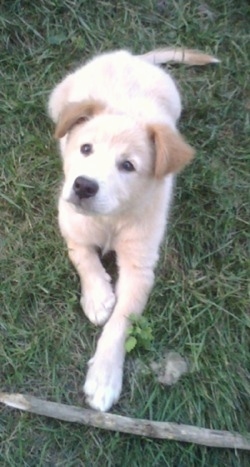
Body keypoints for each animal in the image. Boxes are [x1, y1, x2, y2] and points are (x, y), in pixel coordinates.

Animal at [47, 48, 218, 414]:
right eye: (85, 149)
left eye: (128, 166)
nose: (83, 186)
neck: (112, 218)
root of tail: (131, 56)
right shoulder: (71, 223)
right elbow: (83, 257)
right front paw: (98, 296)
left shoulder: (140, 266)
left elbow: (121, 323)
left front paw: (104, 378)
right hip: (57, 100)